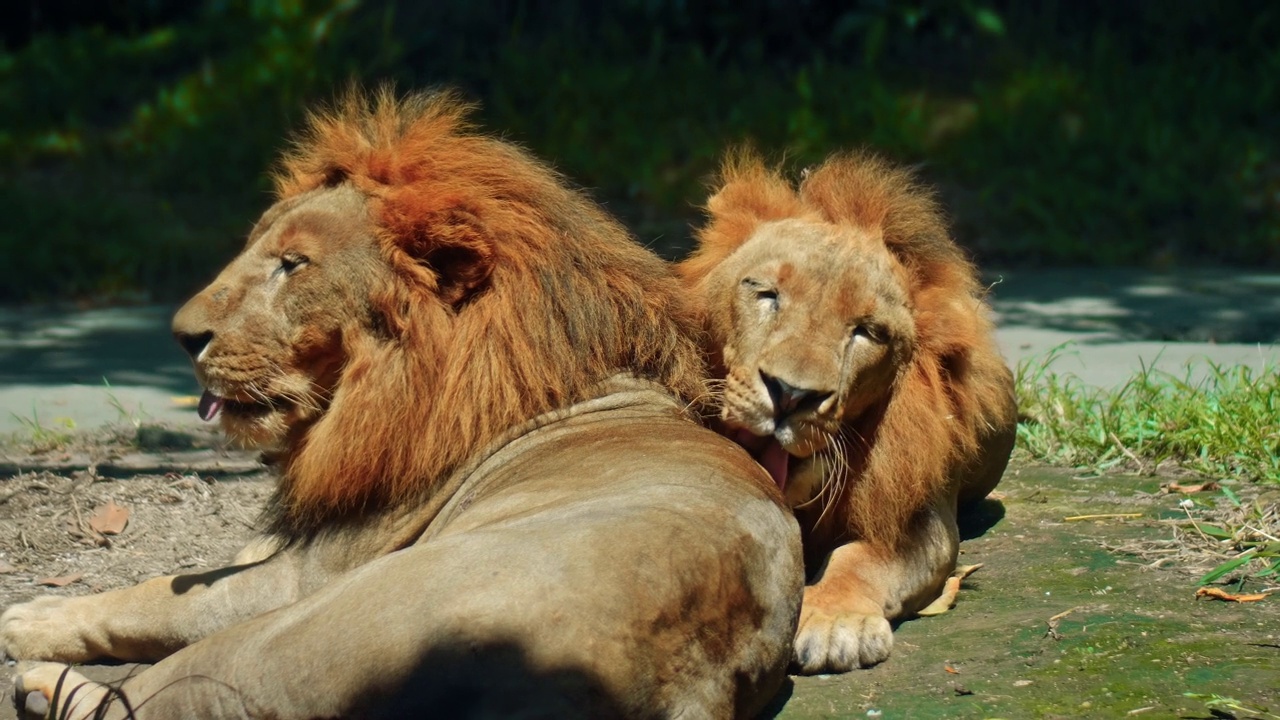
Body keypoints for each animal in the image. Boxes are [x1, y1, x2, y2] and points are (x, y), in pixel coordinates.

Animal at [0, 90, 798, 717]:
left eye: (293, 265)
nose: (180, 334)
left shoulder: (303, 575)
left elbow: (156, 594)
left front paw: (32, 615)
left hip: (293, 630)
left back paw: (38, 680)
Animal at [675, 149, 1013, 671]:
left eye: (867, 332)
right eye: (766, 293)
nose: (790, 395)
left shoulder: (921, 521)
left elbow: (861, 561)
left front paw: (833, 624)